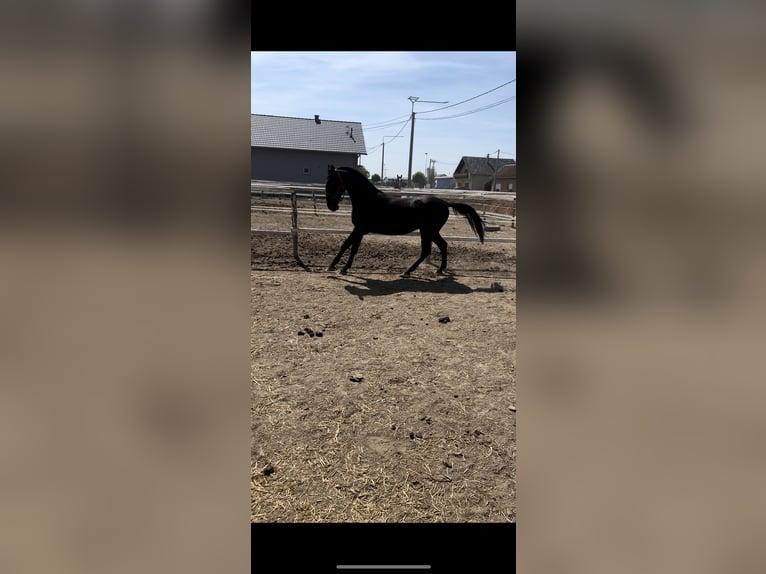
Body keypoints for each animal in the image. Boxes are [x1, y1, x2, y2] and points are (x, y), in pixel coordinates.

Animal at [326, 165, 486, 278]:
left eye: (333, 182)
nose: (332, 206)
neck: (367, 199)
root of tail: (445, 203)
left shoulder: (359, 229)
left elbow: (349, 247)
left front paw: (339, 268)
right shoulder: (360, 230)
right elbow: (348, 246)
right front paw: (336, 267)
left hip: (428, 231)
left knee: (429, 249)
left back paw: (409, 271)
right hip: (429, 231)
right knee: (440, 246)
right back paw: (436, 270)